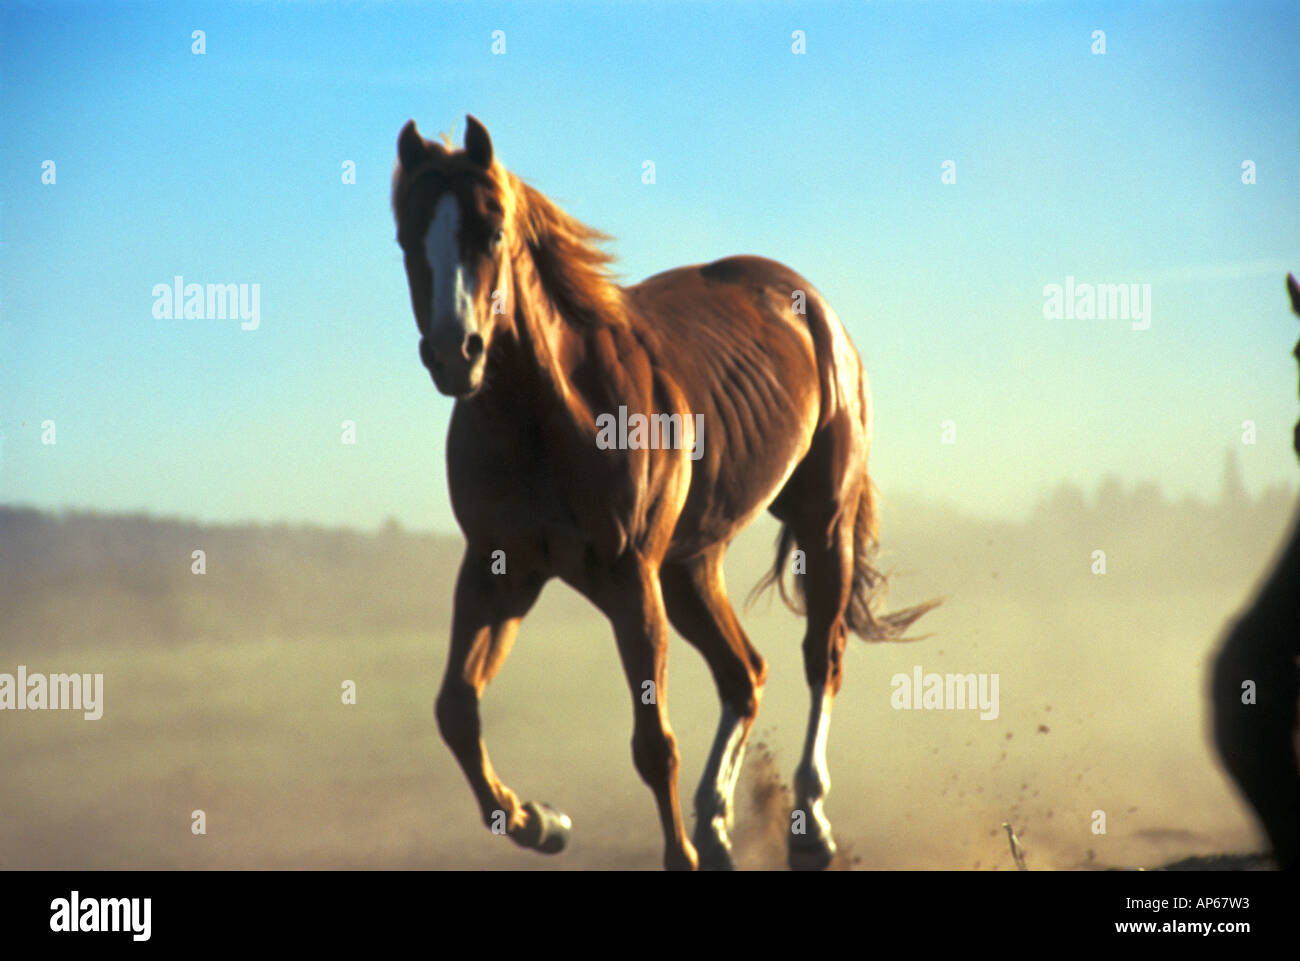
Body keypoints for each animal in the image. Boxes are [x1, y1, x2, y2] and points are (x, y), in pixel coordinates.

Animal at [384, 114, 935, 873]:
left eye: (491, 230)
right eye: (408, 238)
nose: (453, 353)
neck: (550, 415)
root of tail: (811, 307)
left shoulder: (629, 578)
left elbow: (653, 744)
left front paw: (671, 849)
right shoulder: (501, 570)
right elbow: (456, 710)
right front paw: (543, 821)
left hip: (819, 525)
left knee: (820, 658)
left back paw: (809, 828)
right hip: (690, 566)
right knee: (745, 674)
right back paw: (718, 826)